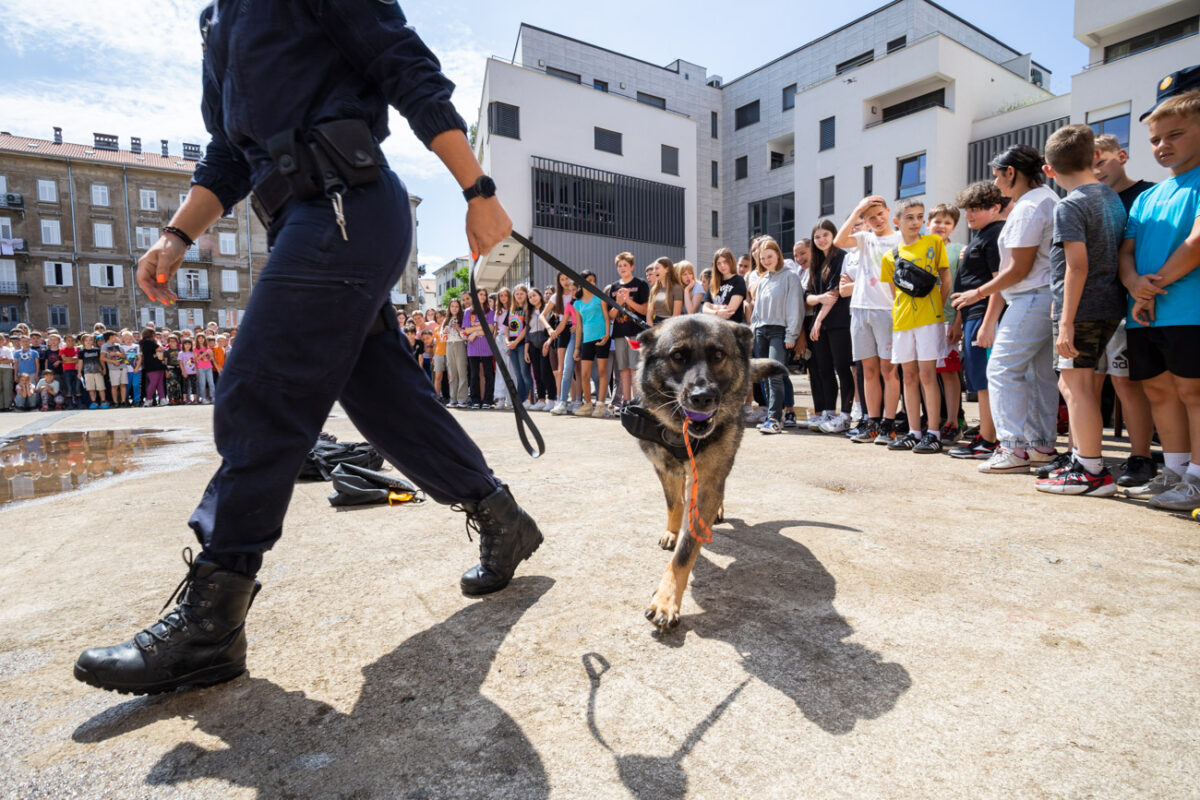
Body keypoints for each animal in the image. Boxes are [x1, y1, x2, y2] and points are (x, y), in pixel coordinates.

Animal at [628, 311, 787, 633]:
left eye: (718, 355)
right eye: (677, 356)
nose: (702, 397)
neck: (681, 433)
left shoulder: (709, 479)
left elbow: (686, 551)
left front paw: (666, 601)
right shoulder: (664, 468)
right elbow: (674, 504)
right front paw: (672, 531)